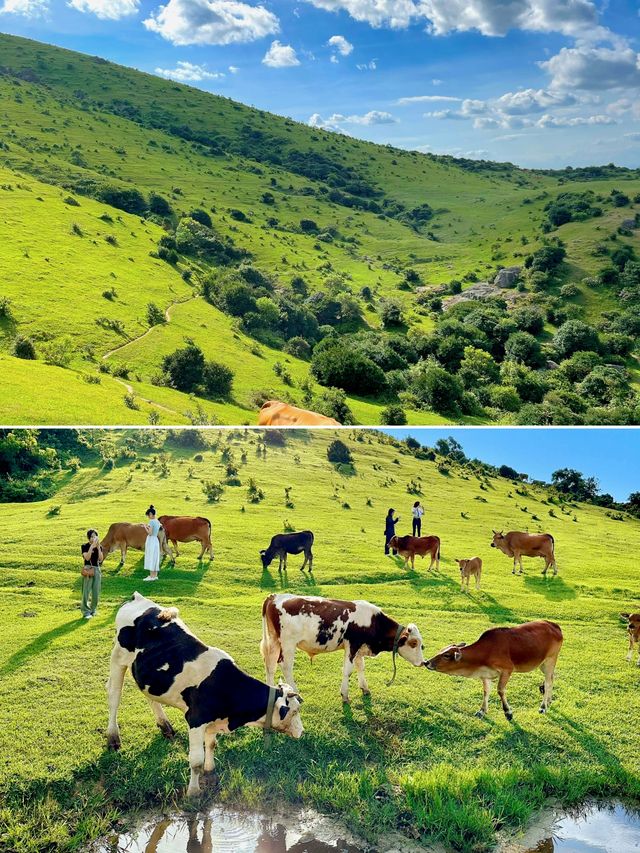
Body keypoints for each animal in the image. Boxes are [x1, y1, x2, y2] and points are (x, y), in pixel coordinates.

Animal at [107, 588, 302, 796]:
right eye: (294, 712)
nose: (302, 731)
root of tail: (139, 598)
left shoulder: (213, 721)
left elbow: (211, 744)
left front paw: (210, 769)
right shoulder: (195, 719)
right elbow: (195, 761)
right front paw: (193, 792)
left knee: (149, 696)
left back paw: (165, 726)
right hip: (118, 658)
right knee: (113, 695)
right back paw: (113, 738)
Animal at [260, 596, 424, 704]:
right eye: (414, 643)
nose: (423, 662)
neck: (374, 622)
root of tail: (274, 597)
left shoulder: (359, 648)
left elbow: (360, 667)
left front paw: (364, 688)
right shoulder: (352, 645)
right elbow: (348, 670)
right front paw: (345, 695)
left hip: (274, 641)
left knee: (270, 665)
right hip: (288, 644)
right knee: (286, 666)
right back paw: (296, 694)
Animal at [428, 620, 564, 720]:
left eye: (446, 655)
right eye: (440, 651)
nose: (427, 662)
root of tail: (554, 625)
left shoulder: (507, 670)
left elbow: (500, 690)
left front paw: (508, 712)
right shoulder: (485, 675)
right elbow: (486, 691)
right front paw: (482, 711)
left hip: (550, 659)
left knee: (548, 682)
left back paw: (543, 706)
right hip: (544, 664)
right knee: (552, 679)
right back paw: (549, 701)